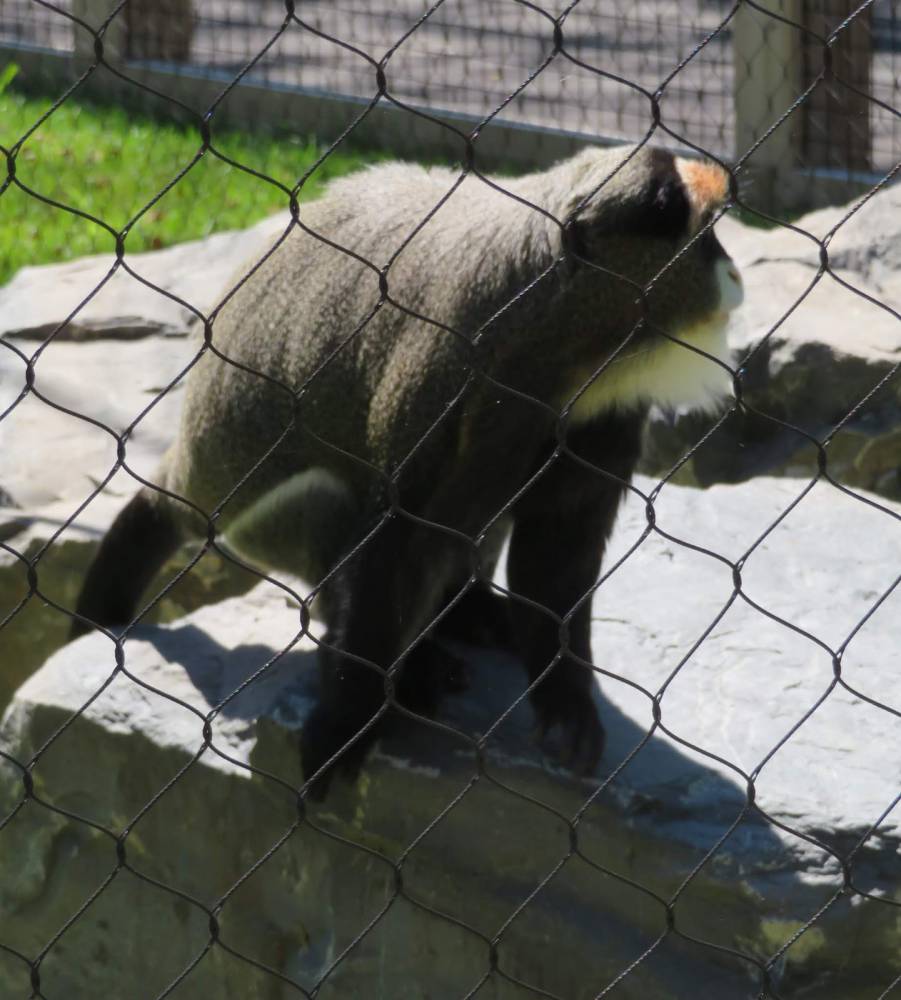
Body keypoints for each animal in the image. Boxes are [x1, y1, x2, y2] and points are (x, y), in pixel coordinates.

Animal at [70, 143, 740, 796]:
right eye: (704, 237)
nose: (734, 272)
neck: (559, 331)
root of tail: (188, 480)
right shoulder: (453, 377)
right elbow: (398, 534)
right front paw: (346, 722)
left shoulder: (605, 403)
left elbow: (560, 542)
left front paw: (565, 704)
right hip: (263, 526)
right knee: (340, 509)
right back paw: (410, 666)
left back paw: (467, 612)